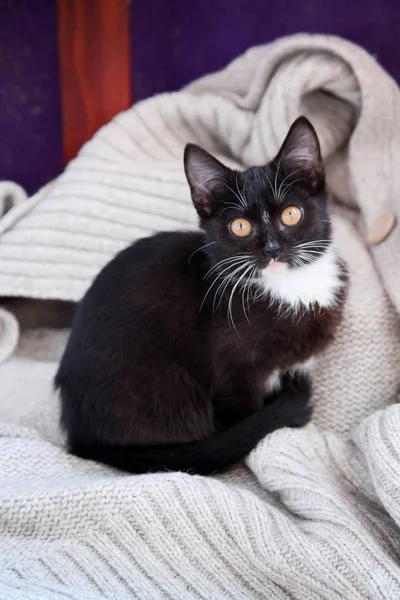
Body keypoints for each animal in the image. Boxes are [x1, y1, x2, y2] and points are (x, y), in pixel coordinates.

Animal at [55, 117, 346, 474]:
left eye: (291, 214)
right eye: (240, 226)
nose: (272, 249)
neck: (288, 288)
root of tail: (82, 434)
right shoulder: (231, 372)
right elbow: (242, 414)